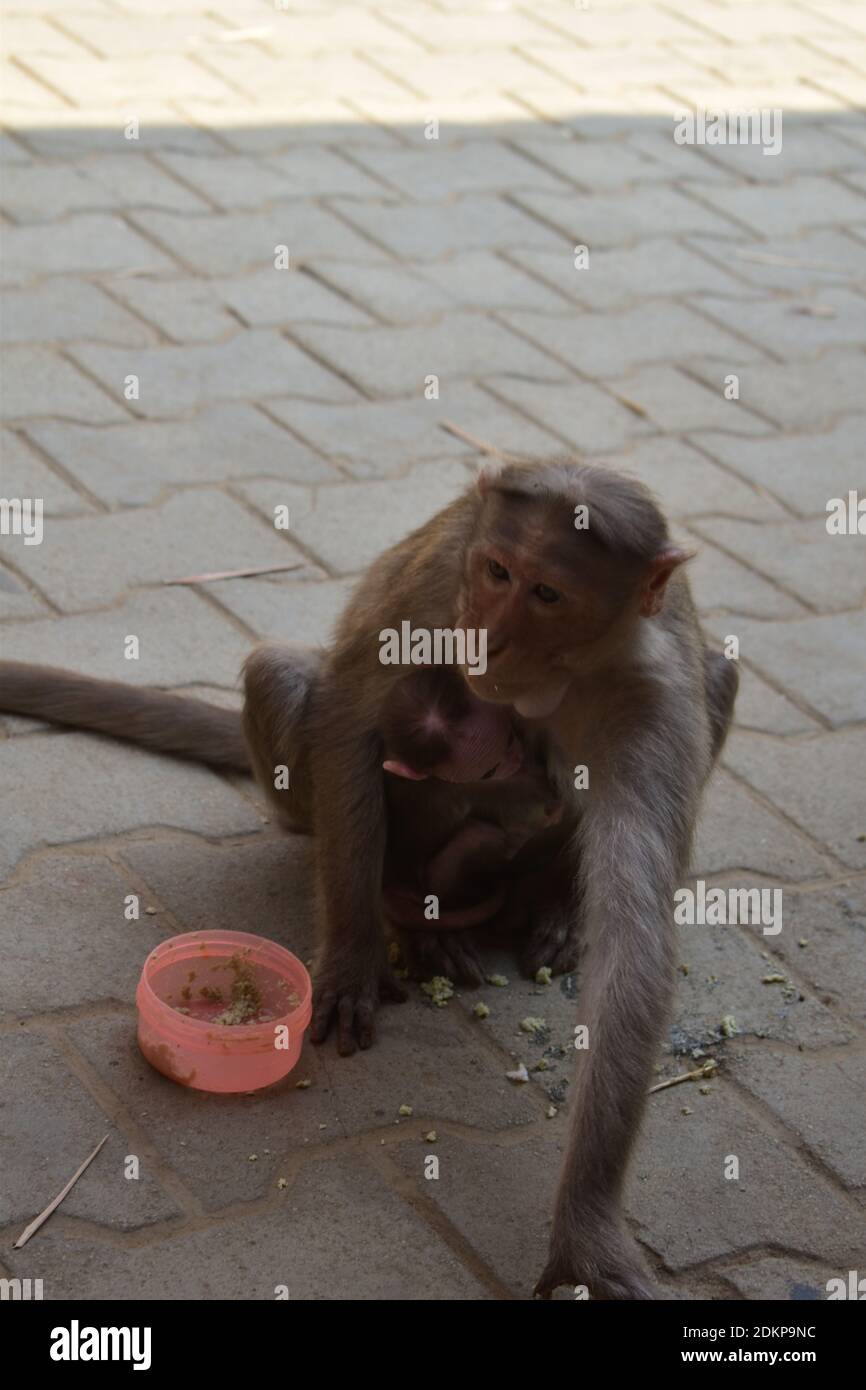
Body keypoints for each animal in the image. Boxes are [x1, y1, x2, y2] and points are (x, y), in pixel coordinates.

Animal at [0, 461, 739, 1295]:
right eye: (497, 571)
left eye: (548, 593)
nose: (489, 634)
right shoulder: (433, 592)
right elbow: (352, 712)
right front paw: (356, 957)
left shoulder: (655, 701)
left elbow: (636, 944)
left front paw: (587, 1229)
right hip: (305, 796)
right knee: (296, 687)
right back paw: (416, 918)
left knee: (720, 674)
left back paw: (544, 902)